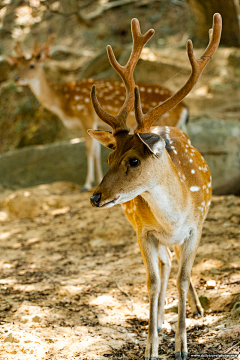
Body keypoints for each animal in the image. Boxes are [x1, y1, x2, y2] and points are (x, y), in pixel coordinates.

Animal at [6, 38, 188, 193]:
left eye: (32, 66)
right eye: (17, 65)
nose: (16, 78)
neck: (63, 103)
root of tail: (185, 108)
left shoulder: (86, 115)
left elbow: (89, 150)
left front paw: (86, 184)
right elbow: (97, 150)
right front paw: (98, 179)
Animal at [89, 14, 222, 360]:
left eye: (134, 160)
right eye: (110, 156)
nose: (95, 197)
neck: (174, 217)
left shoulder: (195, 228)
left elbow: (182, 278)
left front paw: (182, 346)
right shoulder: (143, 232)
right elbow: (152, 281)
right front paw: (151, 346)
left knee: (175, 269)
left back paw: (196, 309)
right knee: (165, 267)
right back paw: (161, 320)